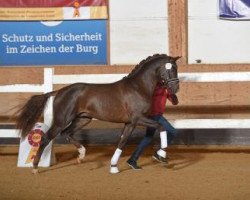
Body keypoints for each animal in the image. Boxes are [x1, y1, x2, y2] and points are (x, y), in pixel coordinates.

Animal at [16, 53, 180, 173]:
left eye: (176, 68)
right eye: (169, 69)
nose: (175, 89)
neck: (138, 87)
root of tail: (60, 91)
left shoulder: (129, 123)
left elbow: (122, 142)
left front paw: (113, 167)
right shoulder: (137, 118)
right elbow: (161, 126)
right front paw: (162, 156)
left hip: (83, 119)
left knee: (67, 133)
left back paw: (81, 155)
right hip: (61, 120)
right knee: (46, 138)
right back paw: (35, 167)